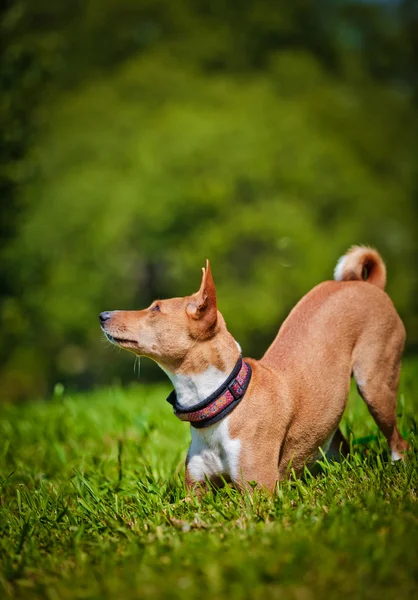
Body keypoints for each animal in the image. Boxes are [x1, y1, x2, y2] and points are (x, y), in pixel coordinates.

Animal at [100, 247, 408, 492]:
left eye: (155, 309)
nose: (103, 315)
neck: (225, 400)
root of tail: (370, 287)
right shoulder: (195, 490)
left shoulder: (257, 492)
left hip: (375, 386)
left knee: (397, 440)